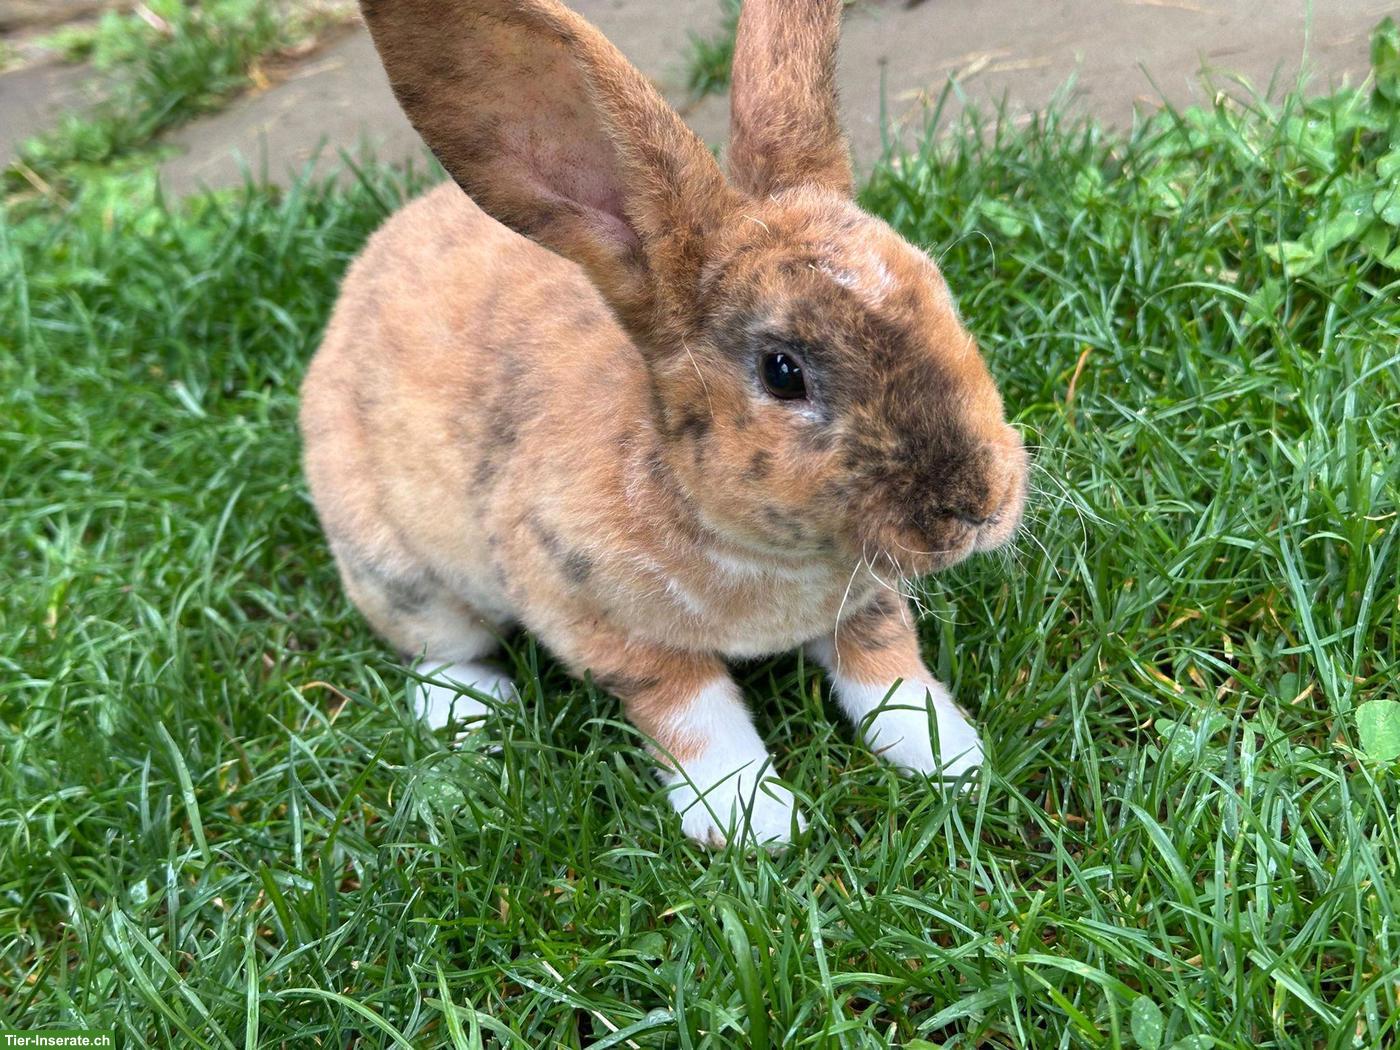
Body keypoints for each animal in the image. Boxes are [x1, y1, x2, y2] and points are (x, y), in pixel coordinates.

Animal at [299, 0, 1029, 847]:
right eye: (782, 371)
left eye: (937, 289)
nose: (981, 507)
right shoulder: (597, 618)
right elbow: (694, 712)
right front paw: (756, 823)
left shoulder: (866, 603)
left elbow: (886, 666)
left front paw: (954, 760)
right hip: (401, 574)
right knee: (434, 653)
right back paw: (476, 715)